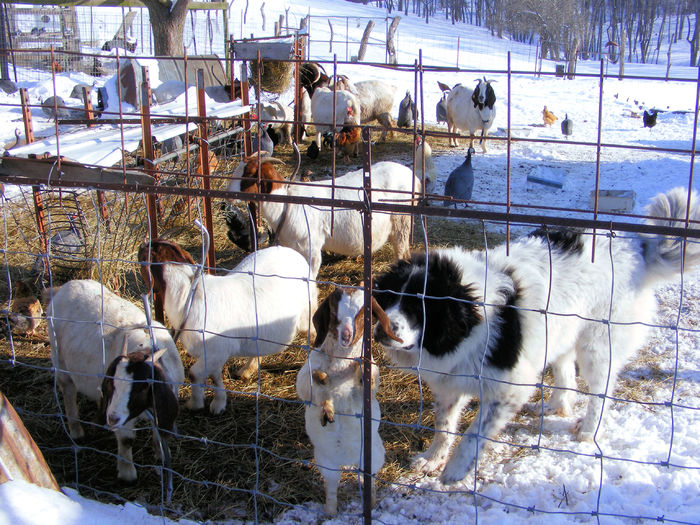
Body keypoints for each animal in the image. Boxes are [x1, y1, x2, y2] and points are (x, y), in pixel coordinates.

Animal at [47, 280, 186, 482]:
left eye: (142, 388)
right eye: (113, 384)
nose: (112, 418)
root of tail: (65, 287)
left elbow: (158, 433)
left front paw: (160, 456)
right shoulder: (123, 415)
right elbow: (127, 440)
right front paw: (127, 474)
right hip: (60, 361)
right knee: (68, 391)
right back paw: (76, 431)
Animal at [137, 242, 318, 414]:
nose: (141, 246)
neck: (187, 294)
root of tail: (291, 252)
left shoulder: (215, 350)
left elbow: (194, 374)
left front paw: (194, 404)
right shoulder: (213, 353)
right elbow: (214, 376)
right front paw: (219, 402)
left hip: (306, 313)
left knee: (313, 333)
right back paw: (246, 370)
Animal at [374, 187, 696, 484]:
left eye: (418, 307)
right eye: (388, 299)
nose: (382, 329)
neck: (473, 314)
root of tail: (636, 246)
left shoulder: (509, 388)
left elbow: (472, 435)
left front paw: (454, 470)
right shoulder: (450, 381)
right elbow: (444, 425)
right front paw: (433, 458)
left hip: (596, 346)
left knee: (600, 393)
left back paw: (588, 431)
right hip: (560, 333)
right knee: (567, 377)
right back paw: (555, 406)